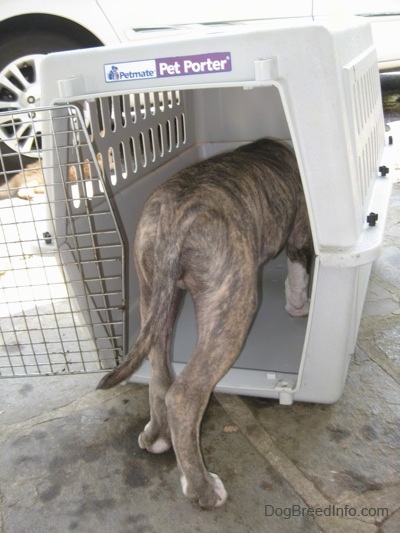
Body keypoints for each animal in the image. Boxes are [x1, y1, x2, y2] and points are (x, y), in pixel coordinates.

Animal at [96, 137, 312, 508]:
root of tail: (174, 219)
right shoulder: (300, 232)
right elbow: (298, 273)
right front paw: (300, 306)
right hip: (231, 305)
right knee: (185, 396)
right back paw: (204, 489)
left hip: (157, 298)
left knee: (160, 380)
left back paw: (155, 438)